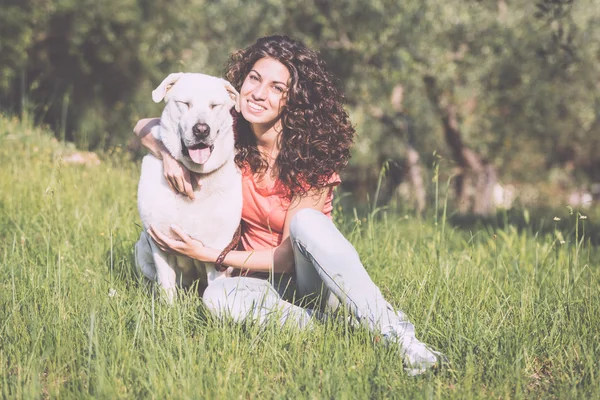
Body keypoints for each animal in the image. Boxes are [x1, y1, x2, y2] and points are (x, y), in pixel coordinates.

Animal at [135, 72, 241, 304]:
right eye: (185, 104)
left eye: (214, 105)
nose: (201, 130)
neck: (195, 177)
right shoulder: (160, 242)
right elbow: (166, 285)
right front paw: (168, 311)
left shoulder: (218, 250)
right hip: (141, 249)